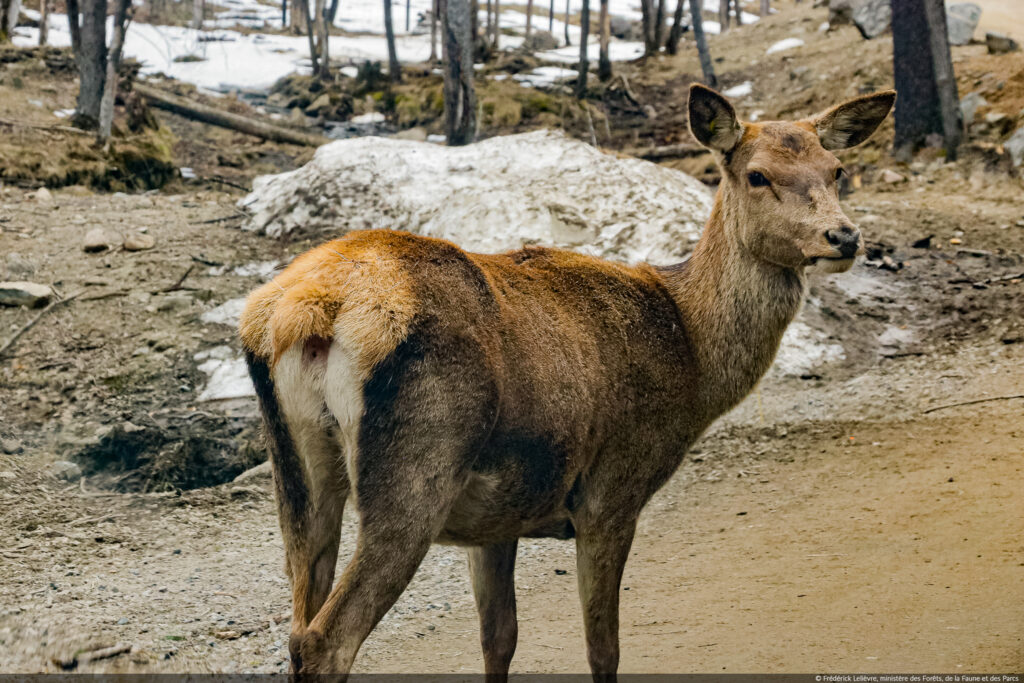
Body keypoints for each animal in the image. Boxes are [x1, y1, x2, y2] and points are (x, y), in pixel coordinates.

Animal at [239, 84, 895, 678]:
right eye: (757, 175)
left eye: (837, 170)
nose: (844, 236)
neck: (691, 355)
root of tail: (310, 310)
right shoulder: (612, 490)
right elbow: (603, 648)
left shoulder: (496, 518)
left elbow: (499, 640)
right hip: (418, 465)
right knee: (326, 640)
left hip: (296, 473)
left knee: (298, 622)